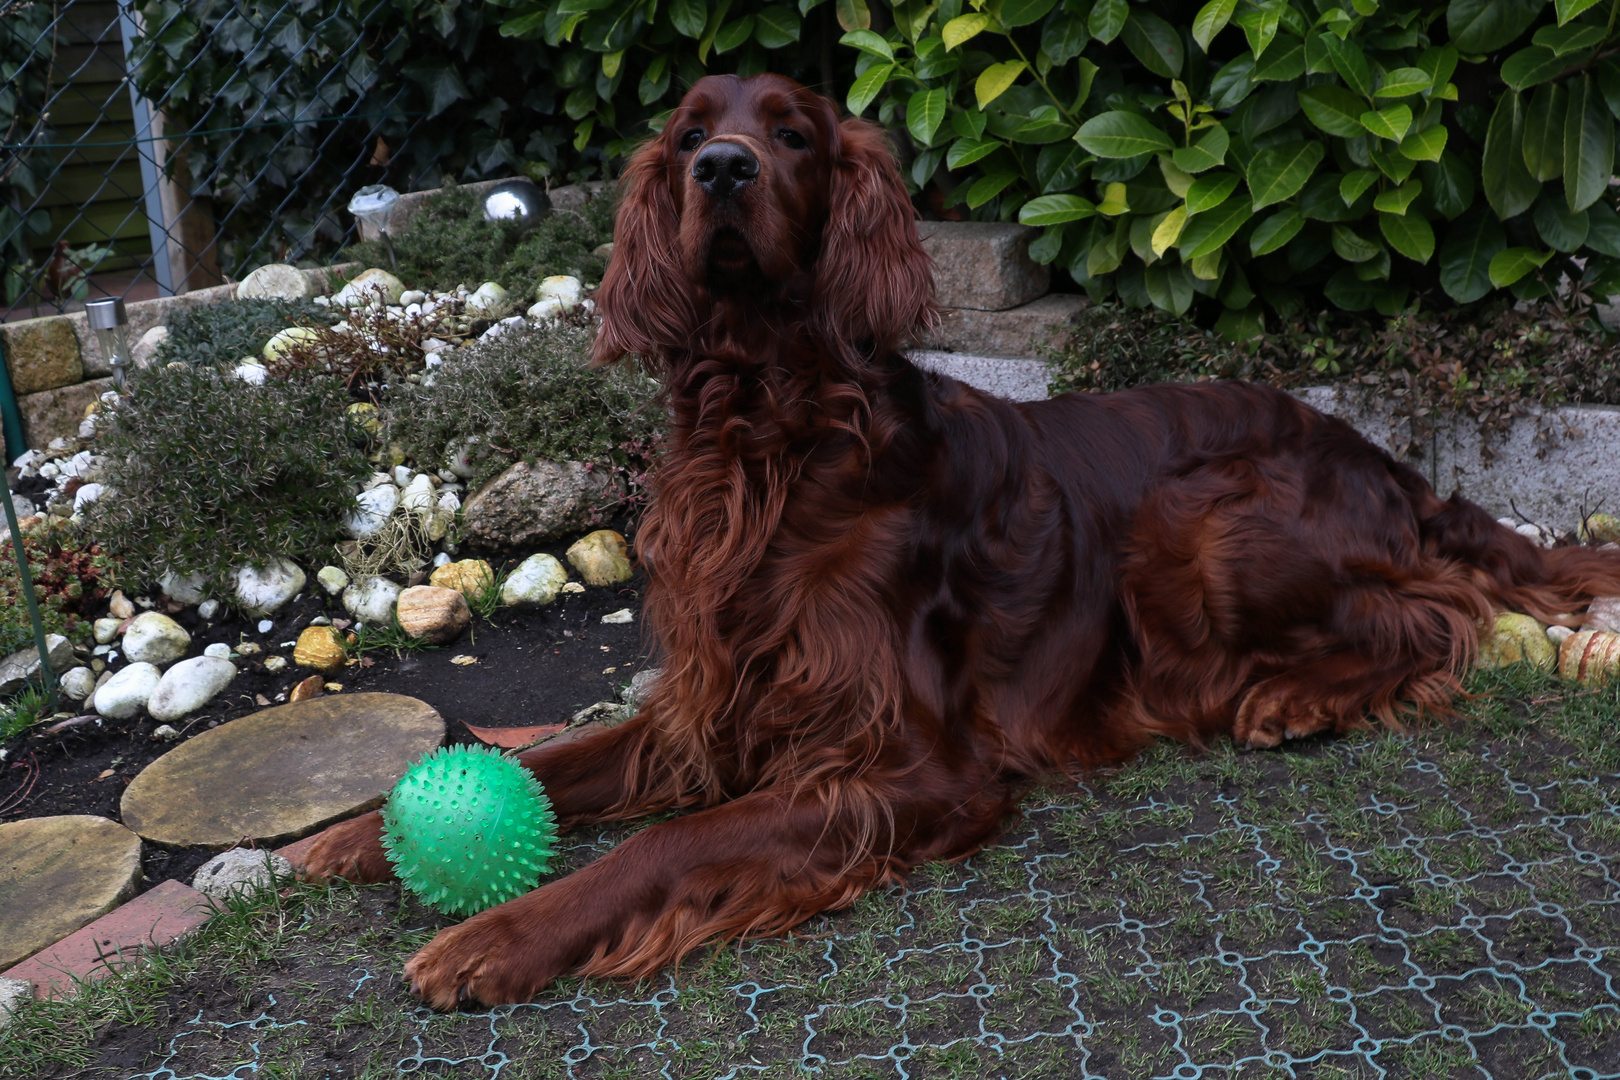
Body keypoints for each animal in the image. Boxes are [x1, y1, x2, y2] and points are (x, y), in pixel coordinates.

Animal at [301, 71, 1620, 1010]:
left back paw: (1295, 697)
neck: (771, 436)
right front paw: (354, 833)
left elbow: (667, 843)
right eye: (685, 136)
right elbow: (559, 766)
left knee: (1438, 611)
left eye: (792, 134)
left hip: (1197, 520)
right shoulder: (716, 702)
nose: (723, 170)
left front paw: (494, 935)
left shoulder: (911, 765)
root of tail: (1375, 452)